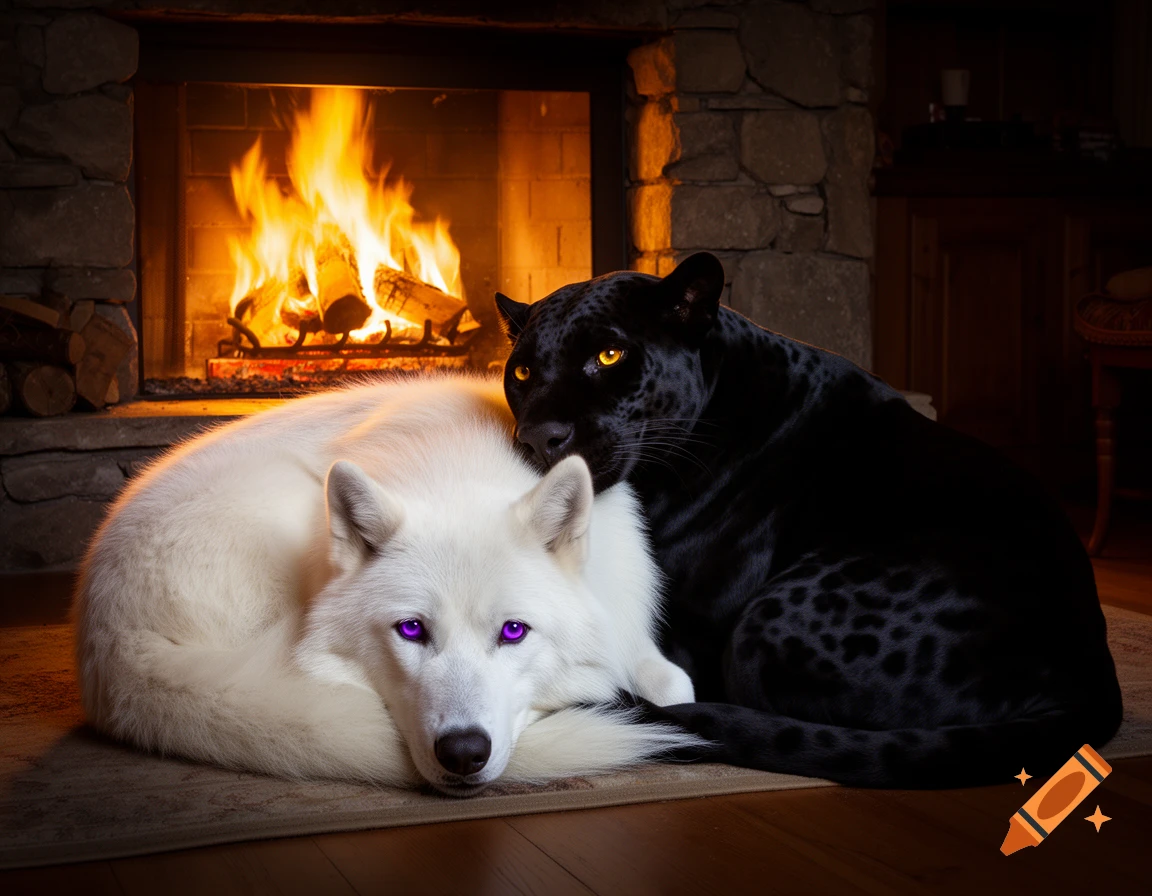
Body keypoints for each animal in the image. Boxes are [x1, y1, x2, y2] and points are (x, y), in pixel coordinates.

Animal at [73, 374, 697, 795]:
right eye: (411, 630)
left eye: (514, 631)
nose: (463, 752)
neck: (453, 467)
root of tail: (108, 640)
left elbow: (675, 686)